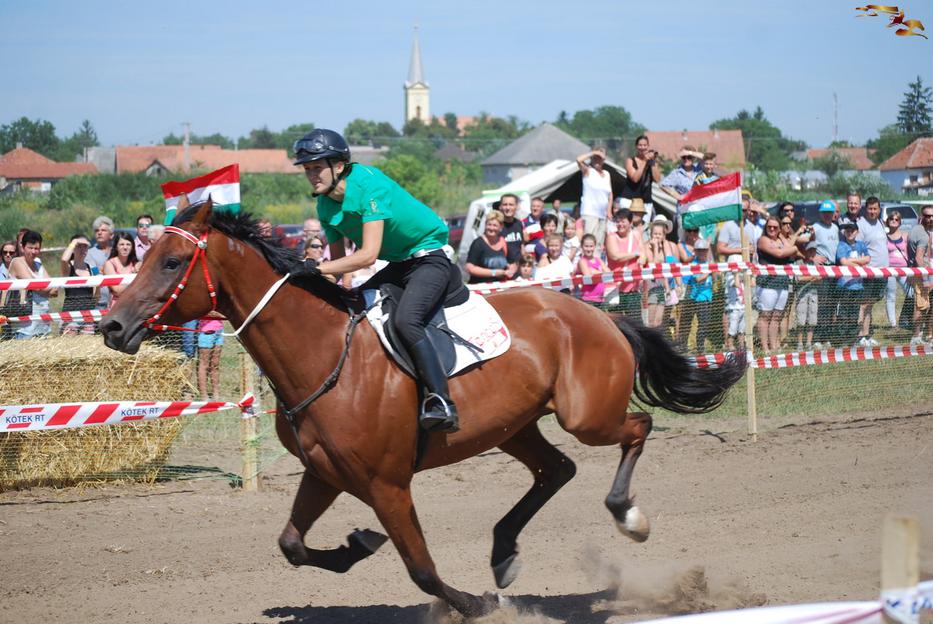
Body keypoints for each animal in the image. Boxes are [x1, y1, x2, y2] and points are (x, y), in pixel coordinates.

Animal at [100, 202, 744, 616]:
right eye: (143, 255)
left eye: (170, 263)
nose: (111, 327)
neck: (322, 354)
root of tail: (598, 314)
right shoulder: (326, 473)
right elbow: (291, 545)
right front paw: (355, 546)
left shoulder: (387, 484)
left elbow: (422, 569)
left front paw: (473, 602)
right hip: (511, 427)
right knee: (556, 469)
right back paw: (503, 553)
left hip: (586, 417)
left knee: (638, 427)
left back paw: (627, 516)